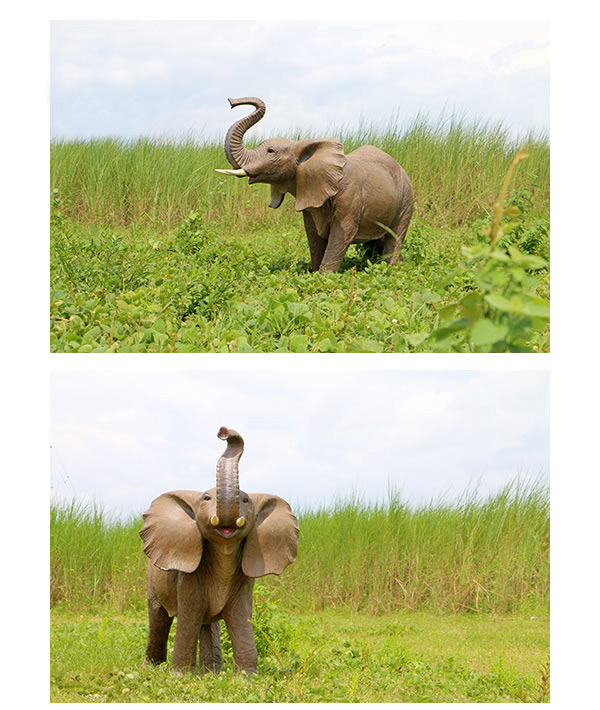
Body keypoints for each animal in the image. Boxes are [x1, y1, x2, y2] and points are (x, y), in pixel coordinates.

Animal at [139, 426, 299, 675]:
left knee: (208, 623)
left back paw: (210, 672)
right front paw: (179, 676)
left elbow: (241, 618)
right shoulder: (188, 577)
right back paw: (152, 668)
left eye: (245, 500)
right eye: (206, 498)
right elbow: (188, 617)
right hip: (152, 578)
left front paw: (246, 677)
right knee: (159, 616)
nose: (224, 433)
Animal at [215, 97, 414, 273]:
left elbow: (342, 234)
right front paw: (314, 273)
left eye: (271, 151)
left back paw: (391, 269)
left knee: (395, 235)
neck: (302, 147)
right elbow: (313, 234)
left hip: (406, 199)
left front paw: (324, 277)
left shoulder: (350, 197)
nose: (231, 102)